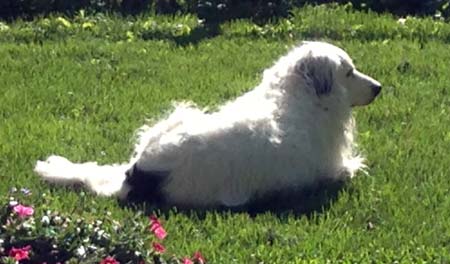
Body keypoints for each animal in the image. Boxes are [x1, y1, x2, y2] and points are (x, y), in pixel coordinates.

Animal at [33, 41, 382, 208]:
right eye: (349, 71)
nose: (379, 87)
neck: (295, 95)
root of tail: (137, 174)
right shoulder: (336, 169)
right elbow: (353, 167)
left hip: (177, 116)